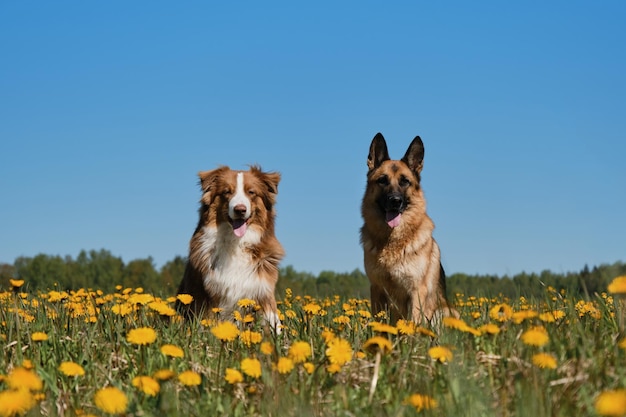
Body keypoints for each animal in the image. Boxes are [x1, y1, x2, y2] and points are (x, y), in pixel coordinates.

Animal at [176, 164, 282, 330]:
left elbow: (273, 323)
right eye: (227, 192)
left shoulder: (263, 290)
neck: (236, 242)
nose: (240, 209)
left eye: (251, 192)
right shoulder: (207, 294)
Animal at [358, 132, 456, 324]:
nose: (395, 201)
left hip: (445, 311)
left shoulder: (416, 291)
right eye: (382, 180)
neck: (393, 241)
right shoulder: (377, 290)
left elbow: (413, 323)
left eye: (405, 182)